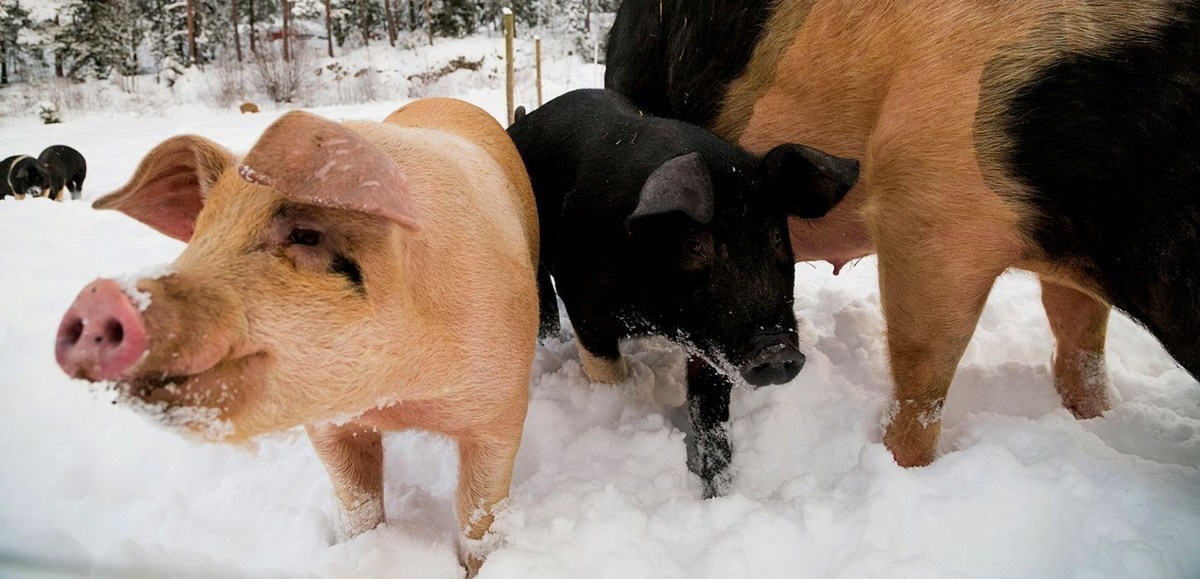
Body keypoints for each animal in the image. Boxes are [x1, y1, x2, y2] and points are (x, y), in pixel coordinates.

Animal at [54, 98, 539, 575]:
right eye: (201, 234)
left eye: (305, 234)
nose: (98, 296)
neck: (396, 396)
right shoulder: (327, 425)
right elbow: (358, 504)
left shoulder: (502, 409)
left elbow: (479, 516)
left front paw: (482, 566)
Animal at [507, 89, 857, 497]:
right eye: (695, 245)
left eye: (775, 237)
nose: (775, 349)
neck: (655, 317)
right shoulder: (585, 307)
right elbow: (609, 373)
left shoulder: (711, 343)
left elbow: (711, 421)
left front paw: (718, 496)